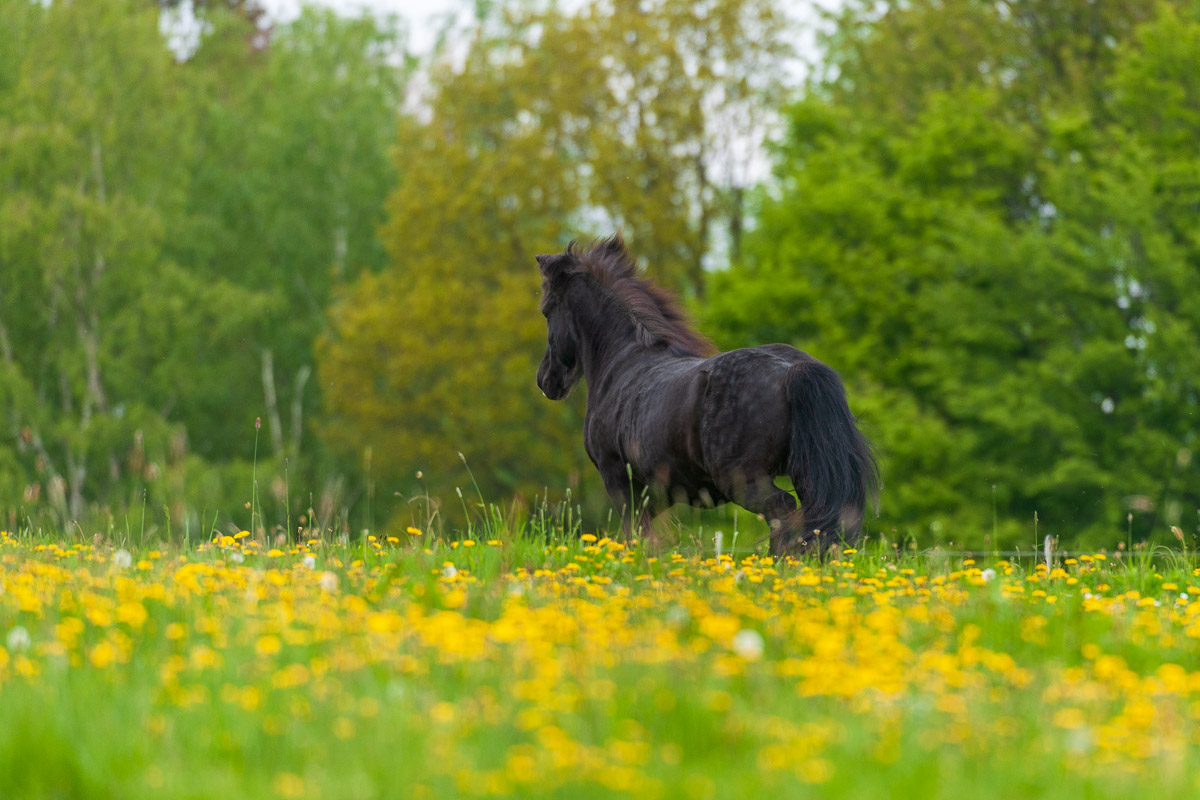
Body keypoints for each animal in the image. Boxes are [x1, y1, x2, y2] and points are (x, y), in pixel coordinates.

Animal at [535, 235, 878, 556]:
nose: (545, 380)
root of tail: (793, 370)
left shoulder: (619, 481)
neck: (623, 359)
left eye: (546, 311)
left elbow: (636, 536)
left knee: (783, 513)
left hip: (743, 480)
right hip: (805, 474)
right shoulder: (655, 495)